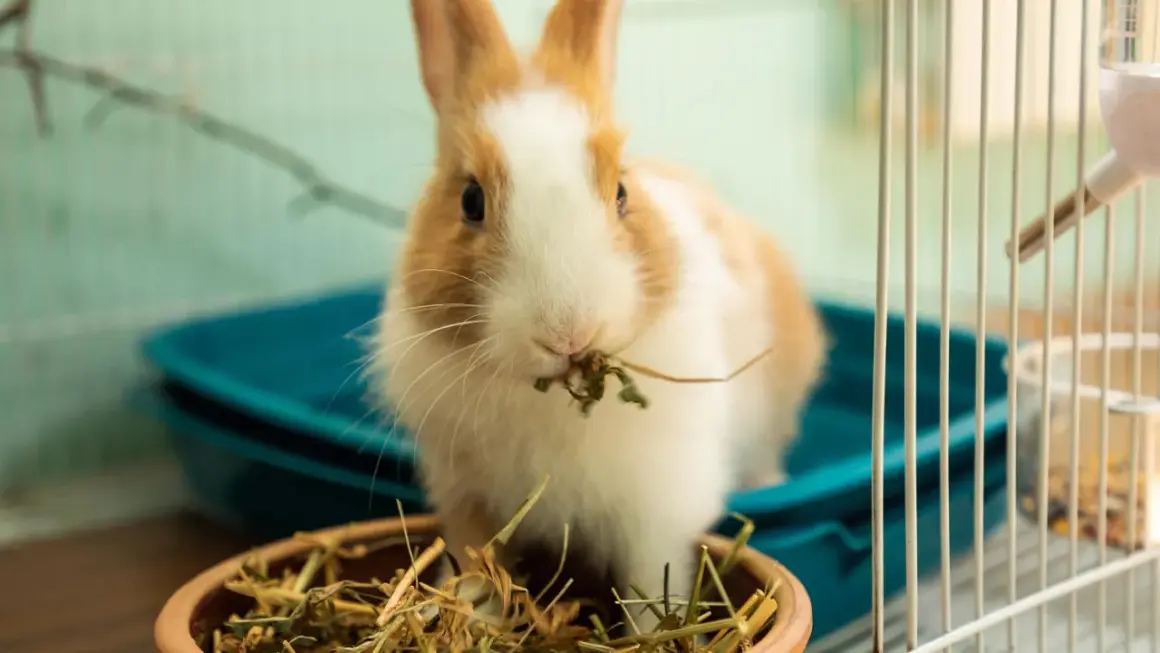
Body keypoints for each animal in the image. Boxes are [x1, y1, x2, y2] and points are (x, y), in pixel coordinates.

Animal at [368, 0, 827, 633]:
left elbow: (650, 585)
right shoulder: (467, 498)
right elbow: (478, 569)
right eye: (470, 200)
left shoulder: (655, 507)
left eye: (621, 192)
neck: (550, 401)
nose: (569, 333)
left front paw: (650, 632)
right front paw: (476, 621)